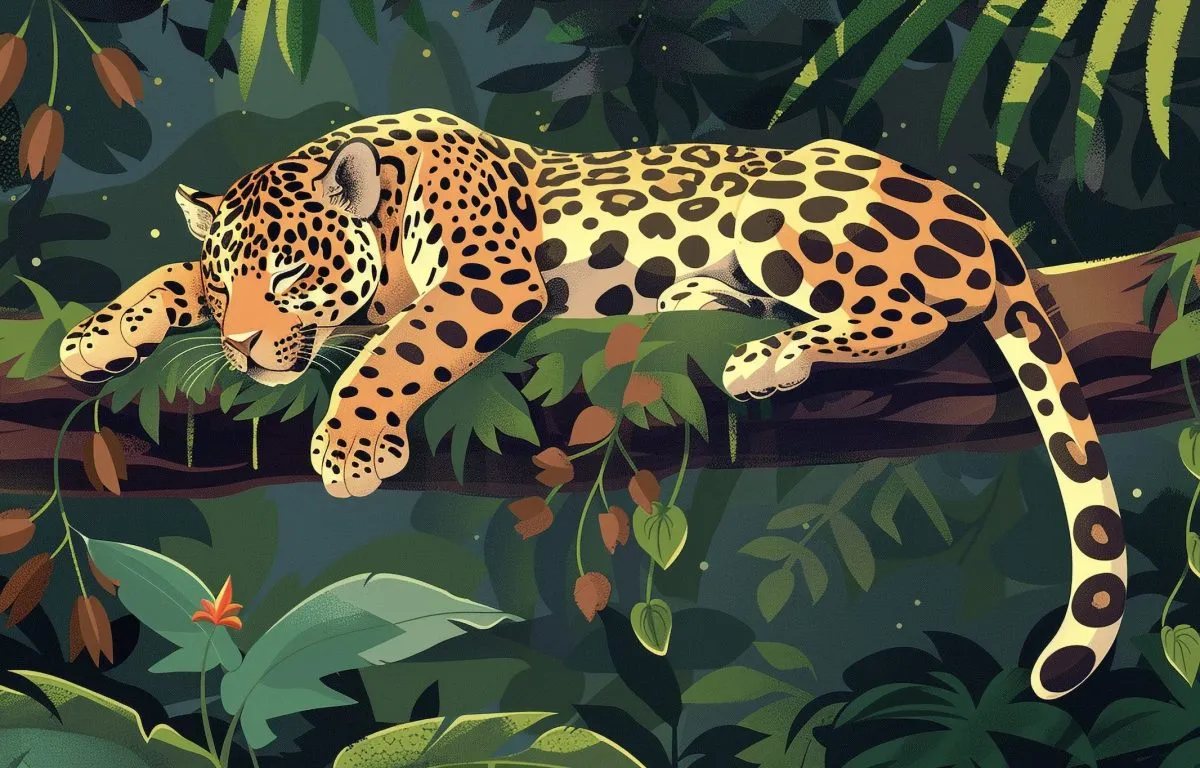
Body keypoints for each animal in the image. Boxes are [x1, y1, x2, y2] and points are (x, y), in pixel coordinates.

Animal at [58, 108, 1125, 700]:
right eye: (230, 277)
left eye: (288, 275)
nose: (241, 347)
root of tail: (970, 206)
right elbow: (168, 276)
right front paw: (97, 335)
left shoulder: (486, 279)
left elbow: (401, 349)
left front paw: (354, 446)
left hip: (782, 209)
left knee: (928, 306)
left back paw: (769, 357)